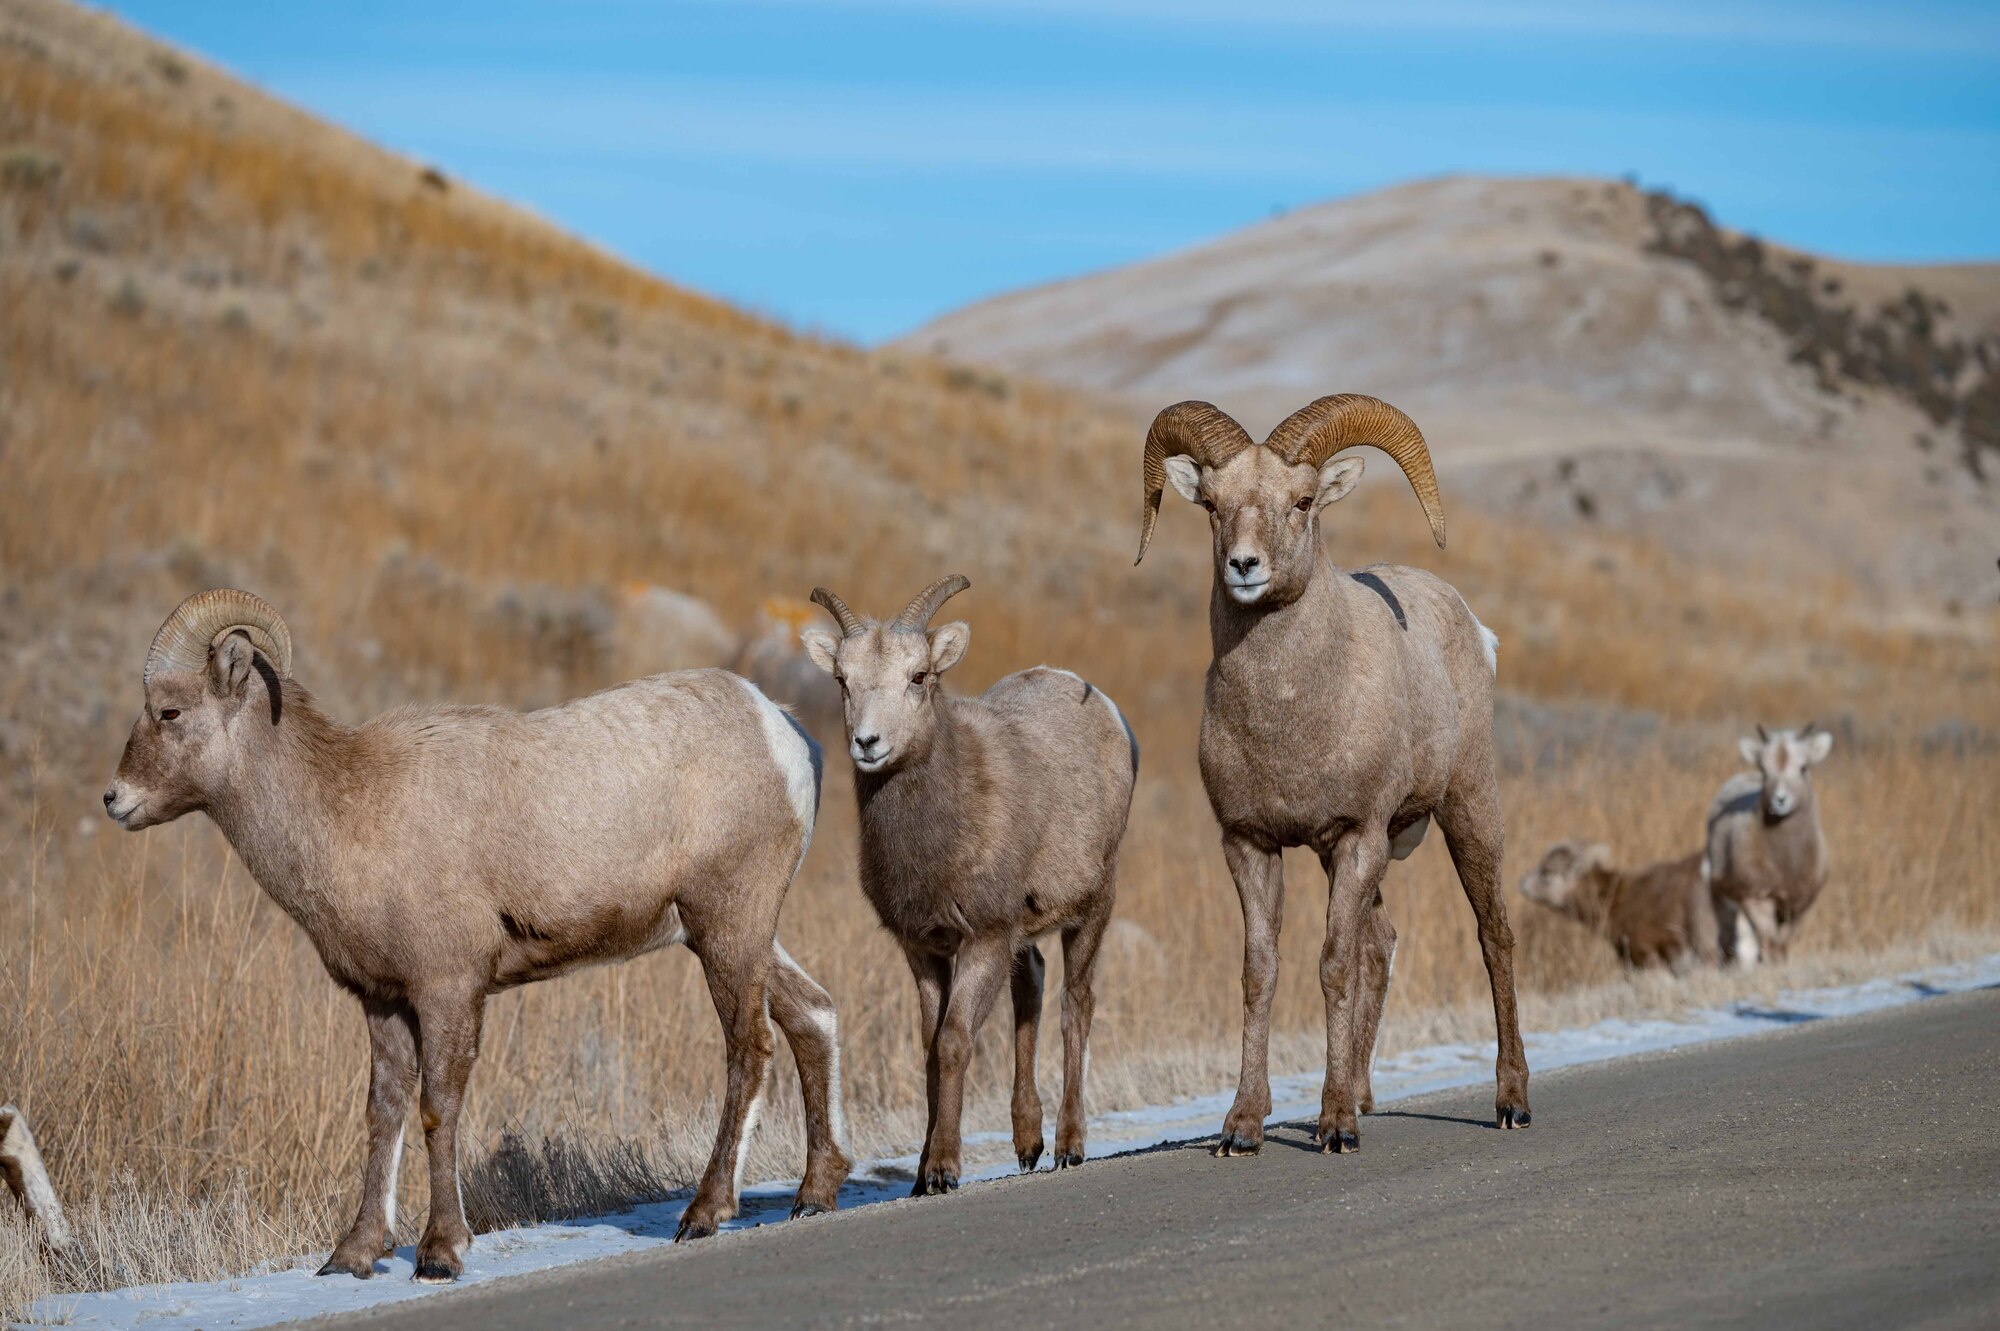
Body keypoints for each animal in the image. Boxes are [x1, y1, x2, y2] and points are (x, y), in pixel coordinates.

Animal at [103, 587, 852, 1279]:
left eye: (170, 712)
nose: (114, 800)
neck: (346, 808)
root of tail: (785, 734)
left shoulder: (448, 990)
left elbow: (438, 1108)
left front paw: (440, 1252)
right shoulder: (383, 1001)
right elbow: (382, 1112)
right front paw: (354, 1254)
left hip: (728, 925)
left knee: (749, 1048)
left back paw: (703, 1213)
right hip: (731, 933)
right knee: (812, 1015)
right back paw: (814, 1193)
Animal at [800, 575, 1144, 1183]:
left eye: (919, 676)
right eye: (843, 679)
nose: (868, 743)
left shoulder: (983, 937)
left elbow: (956, 1041)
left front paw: (942, 1169)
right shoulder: (924, 948)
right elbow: (929, 1048)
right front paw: (919, 1176)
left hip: (1093, 907)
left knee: (1074, 1006)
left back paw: (1069, 1146)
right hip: (1024, 932)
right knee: (1031, 987)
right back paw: (1027, 1144)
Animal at [1144, 393, 1528, 1151]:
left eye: (1301, 501)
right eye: (1214, 505)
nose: (1245, 566)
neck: (1291, 718)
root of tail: (1475, 628)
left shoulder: (1356, 836)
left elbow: (1332, 966)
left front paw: (1335, 1127)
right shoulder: (1253, 844)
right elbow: (1261, 972)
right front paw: (1242, 1127)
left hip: (1466, 809)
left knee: (1491, 935)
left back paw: (1508, 1103)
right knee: (1381, 946)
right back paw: (1365, 1093)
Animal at [1704, 727, 1832, 963]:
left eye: (1803, 767)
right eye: (1764, 770)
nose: (1780, 800)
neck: (1786, 861)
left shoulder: (1797, 905)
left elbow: (1782, 942)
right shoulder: (1758, 898)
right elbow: (1770, 941)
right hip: (1724, 898)